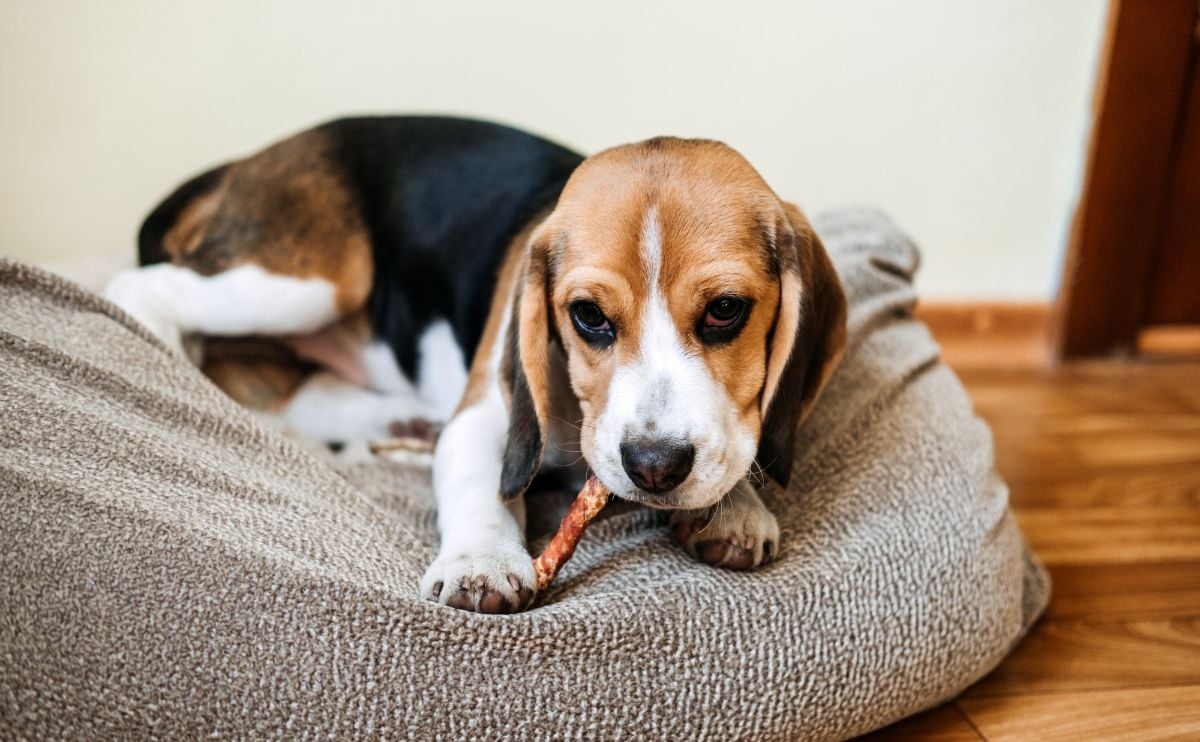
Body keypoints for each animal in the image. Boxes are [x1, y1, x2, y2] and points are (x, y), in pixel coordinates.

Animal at [108, 115, 849, 612]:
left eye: (725, 310)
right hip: (308, 281)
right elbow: (480, 483)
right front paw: (481, 562)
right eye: (588, 316)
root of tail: (248, 160)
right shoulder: (488, 415)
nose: (654, 466)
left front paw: (735, 506)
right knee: (145, 295)